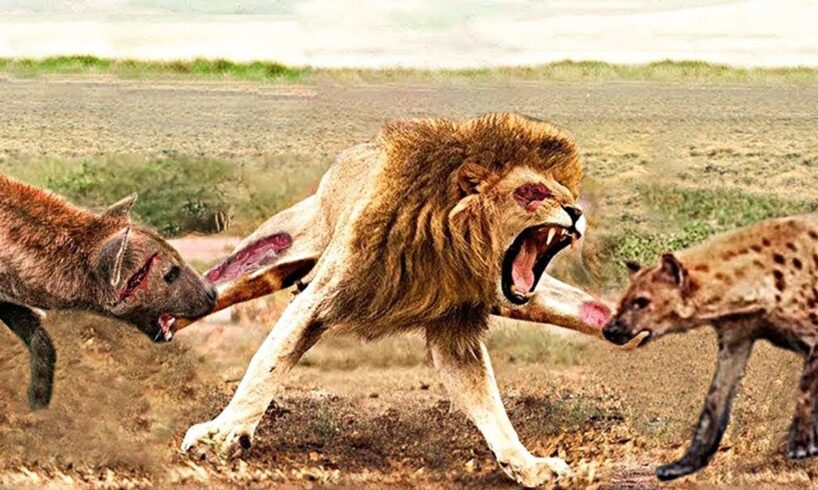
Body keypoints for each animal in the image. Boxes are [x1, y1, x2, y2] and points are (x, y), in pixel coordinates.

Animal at [177, 113, 621, 487]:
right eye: (533, 192)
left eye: (566, 193)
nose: (575, 211)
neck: (454, 244)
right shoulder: (322, 296)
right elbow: (265, 363)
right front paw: (221, 435)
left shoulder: (457, 325)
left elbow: (488, 403)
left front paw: (527, 465)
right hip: (274, 250)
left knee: (590, 310)